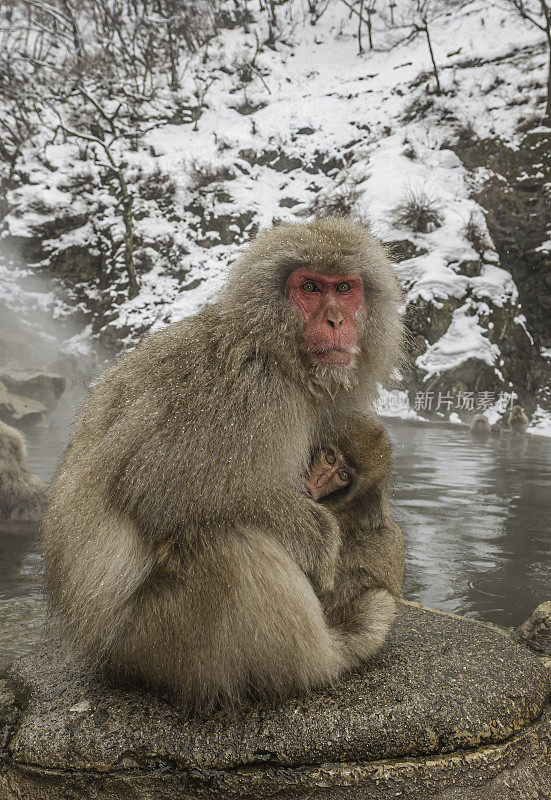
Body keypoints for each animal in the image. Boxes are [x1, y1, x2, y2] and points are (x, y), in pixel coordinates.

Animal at [44, 216, 406, 716]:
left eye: (346, 288)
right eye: (311, 288)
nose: (336, 319)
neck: (278, 356)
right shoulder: (246, 394)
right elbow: (157, 487)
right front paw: (318, 534)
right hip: (153, 640)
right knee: (231, 546)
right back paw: (333, 655)